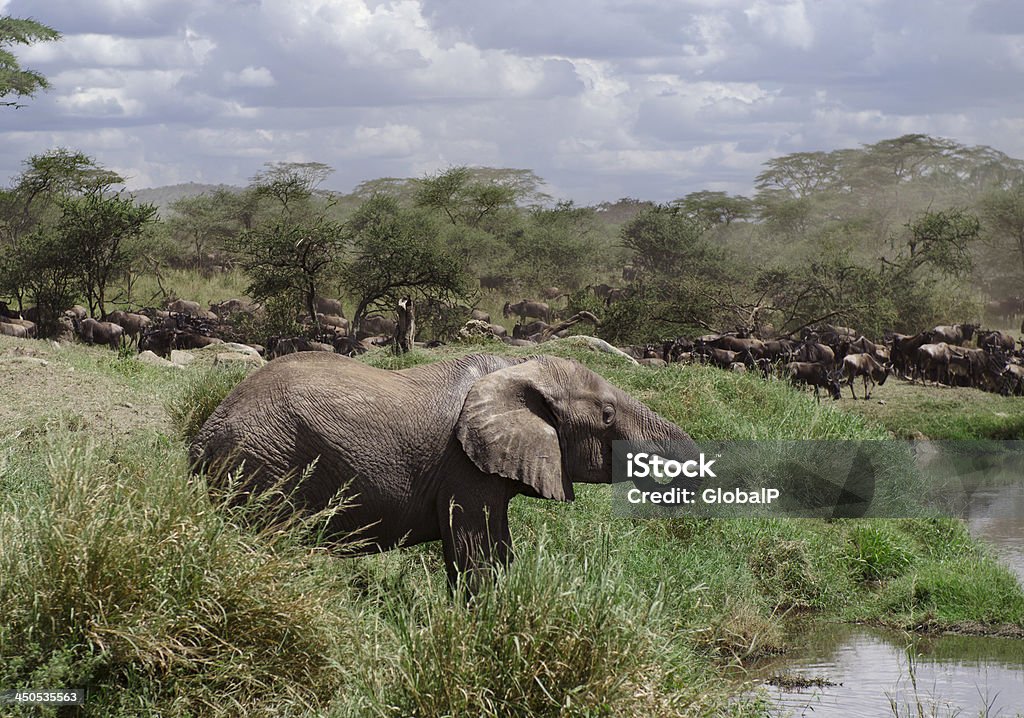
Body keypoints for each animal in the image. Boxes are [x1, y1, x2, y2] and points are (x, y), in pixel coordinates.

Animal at [192, 352, 700, 589]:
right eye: (608, 415)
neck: (518, 368)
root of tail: (204, 432)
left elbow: (496, 547)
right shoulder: (463, 466)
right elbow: (475, 553)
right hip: (263, 464)